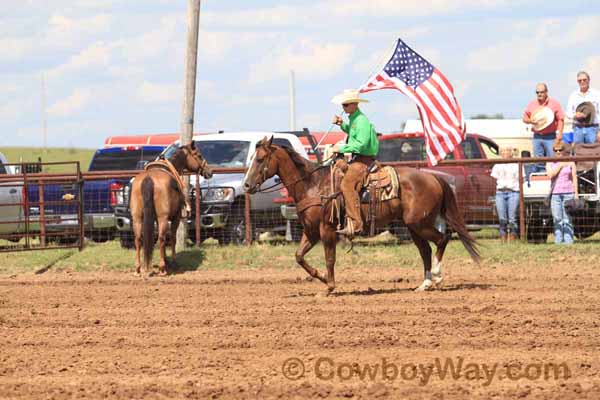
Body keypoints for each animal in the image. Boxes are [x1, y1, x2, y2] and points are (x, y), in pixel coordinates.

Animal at [131, 142, 213, 276]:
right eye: (199, 155)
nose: (210, 171)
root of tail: (148, 179)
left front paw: (166, 259)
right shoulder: (176, 217)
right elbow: (173, 238)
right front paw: (173, 261)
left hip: (137, 217)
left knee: (138, 238)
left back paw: (138, 268)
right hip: (163, 218)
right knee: (161, 238)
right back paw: (162, 269)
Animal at [241, 138, 480, 294]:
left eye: (260, 159)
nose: (246, 185)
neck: (312, 185)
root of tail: (434, 178)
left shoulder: (327, 230)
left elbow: (330, 258)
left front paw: (329, 287)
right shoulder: (310, 231)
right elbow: (299, 256)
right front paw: (320, 277)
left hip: (419, 223)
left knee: (442, 239)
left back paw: (437, 276)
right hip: (413, 226)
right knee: (426, 251)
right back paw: (425, 284)